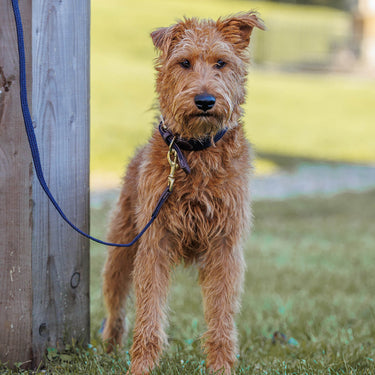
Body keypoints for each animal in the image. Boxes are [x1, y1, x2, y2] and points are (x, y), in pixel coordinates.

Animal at [103, 12, 266, 375]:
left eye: (221, 62)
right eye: (184, 62)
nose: (205, 101)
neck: (195, 153)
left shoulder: (225, 247)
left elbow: (221, 318)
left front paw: (221, 367)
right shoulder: (154, 243)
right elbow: (149, 314)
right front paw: (141, 367)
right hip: (121, 247)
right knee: (115, 304)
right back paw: (108, 345)